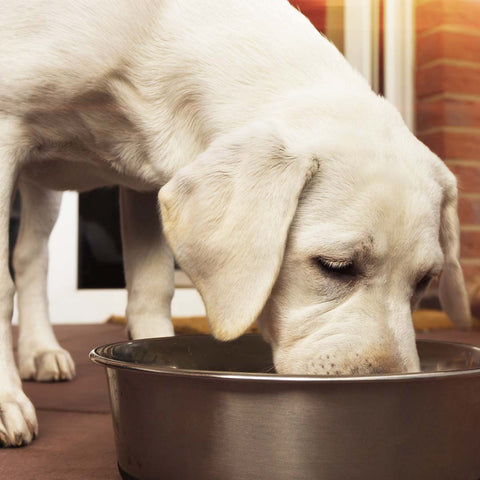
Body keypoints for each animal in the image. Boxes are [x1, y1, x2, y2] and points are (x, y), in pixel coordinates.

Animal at [0, 0, 470, 446]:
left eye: (424, 281)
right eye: (335, 267)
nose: (385, 398)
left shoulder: (144, 180)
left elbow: (152, 289)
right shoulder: (7, 129)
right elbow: (2, 291)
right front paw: (7, 403)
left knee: (32, 257)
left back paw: (40, 350)